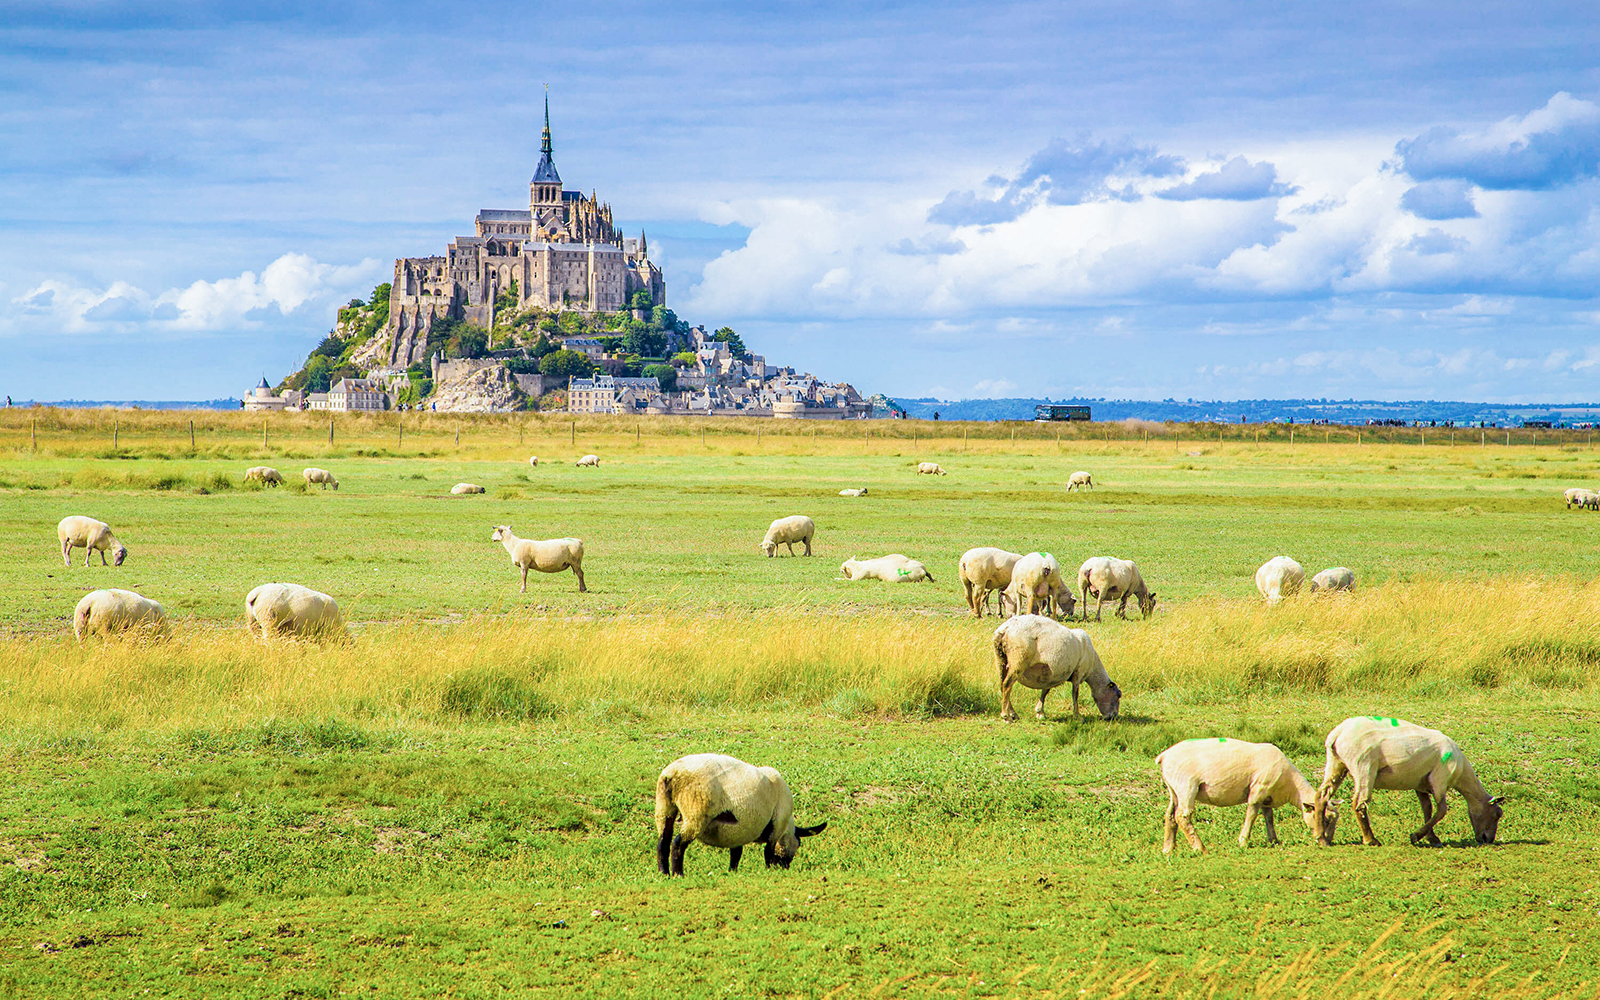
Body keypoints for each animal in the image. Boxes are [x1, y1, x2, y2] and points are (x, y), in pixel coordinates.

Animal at [655, 753, 828, 876]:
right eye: (798, 844)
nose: (785, 867)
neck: (786, 829)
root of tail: (671, 775)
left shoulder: (737, 831)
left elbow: (736, 854)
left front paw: (732, 872)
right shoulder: (776, 827)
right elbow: (768, 851)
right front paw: (769, 870)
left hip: (664, 806)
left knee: (663, 841)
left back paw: (664, 873)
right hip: (696, 812)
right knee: (678, 843)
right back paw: (678, 873)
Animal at [992, 614, 1121, 722]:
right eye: (1118, 695)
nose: (1113, 717)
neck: (1092, 665)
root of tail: (1005, 629)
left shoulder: (1051, 675)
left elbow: (1045, 691)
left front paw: (1040, 712)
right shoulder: (1078, 673)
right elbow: (1075, 694)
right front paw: (1077, 716)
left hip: (1001, 659)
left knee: (1002, 684)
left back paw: (1013, 713)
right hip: (1019, 659)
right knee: (1007, 685)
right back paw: (1006, 716)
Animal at [1156, 738, 1335, 853]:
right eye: (1325, 819)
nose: (1327, 844)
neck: (1291, 787)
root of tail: (1163, 756)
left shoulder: (1267, 797)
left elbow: (1269, 817)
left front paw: (1274, 840)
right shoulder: (1259, 790)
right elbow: (1252, 814)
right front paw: (1243, 841)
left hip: (1174, 789)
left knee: (1170, 814)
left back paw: (1168, 848)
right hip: (1186, 786)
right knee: (1182, 816)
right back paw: (1200, 848)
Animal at [1315, 716, 1505, 847]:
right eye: (1498, 814)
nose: (1488, 840)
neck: (1461, 775)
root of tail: (1337, 733)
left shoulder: (1421, 784)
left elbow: (1427, 809)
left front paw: (1431, 837)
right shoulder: (1439, 777)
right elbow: (1441, 810)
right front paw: (1416, 836)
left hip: (1336, 763)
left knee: (1321, 795)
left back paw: (1321, 837)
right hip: (1363, 765)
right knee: (1359, 803)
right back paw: (1370, 839)